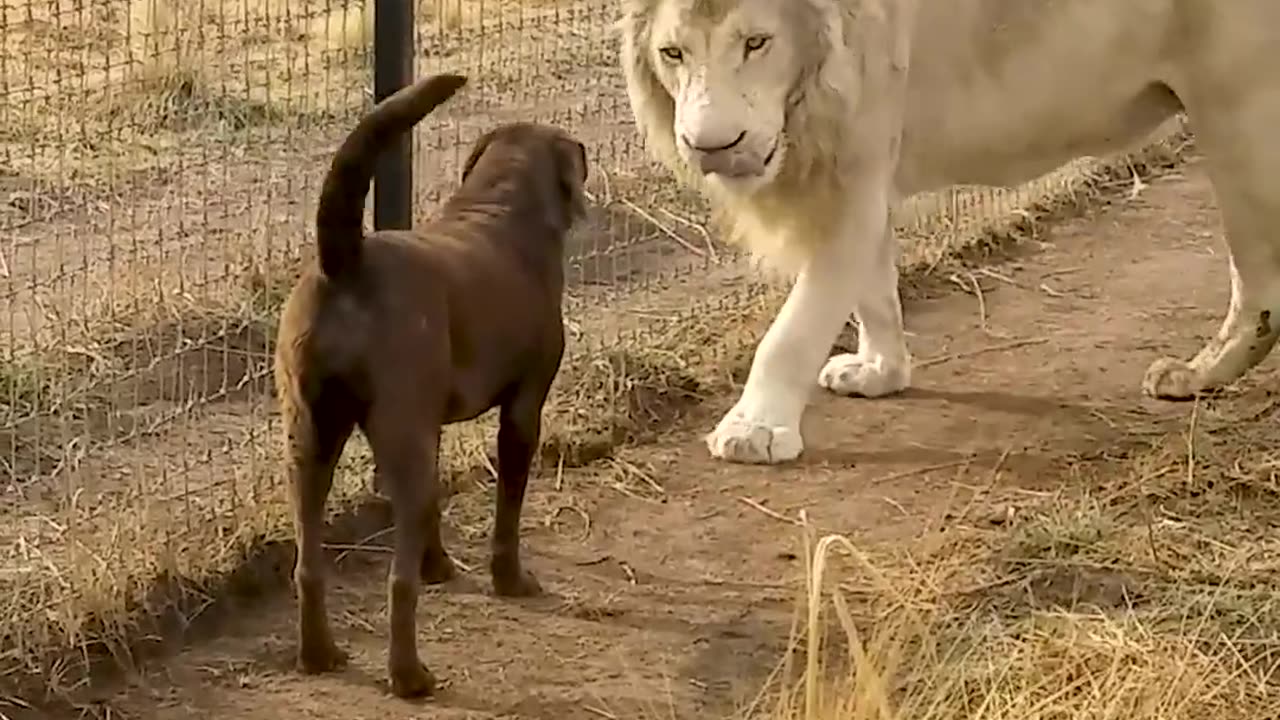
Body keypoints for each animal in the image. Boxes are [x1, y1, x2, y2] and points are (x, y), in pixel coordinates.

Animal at [273, 73, 588, 696]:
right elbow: (508, 507)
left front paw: (438, 564)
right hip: (395, 434)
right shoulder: (523, 409)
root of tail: (345, 260)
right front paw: (510, 579)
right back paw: (410, 676)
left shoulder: (429, 427)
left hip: (311, 440)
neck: (498, 206)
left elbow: (432, 508)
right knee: (397, 585)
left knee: (308, 564)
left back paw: (319, 654)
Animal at [616, 0, 1280, 461]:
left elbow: (793, 330)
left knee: (1258, 283)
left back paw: (1197, 375)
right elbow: (875, 292)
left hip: (1237, 109)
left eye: (757, 42)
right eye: (673, 54)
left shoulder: (854, 170)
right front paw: (879, 373)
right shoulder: (864, 175)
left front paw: (754, 430)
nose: (712, 146)